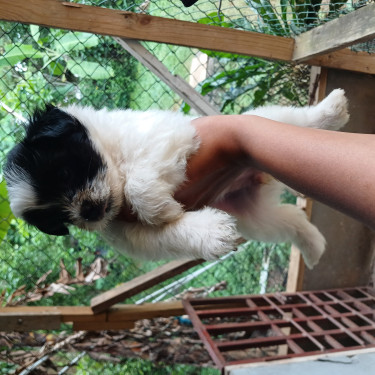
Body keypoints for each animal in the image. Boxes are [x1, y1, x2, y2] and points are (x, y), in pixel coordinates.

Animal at [3, 89, 350, 268]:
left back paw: (330, 110)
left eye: (65, 173)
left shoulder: (167, 135)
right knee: (290, 220)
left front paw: (160, 208)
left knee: (293, 119)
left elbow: (139, 185)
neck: (116, 161)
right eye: (57, 216)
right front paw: (210, 232)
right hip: (254, 216)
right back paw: (313, 247)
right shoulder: (128, 233)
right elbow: (166, 234)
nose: (87, 211)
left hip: (261, 122)